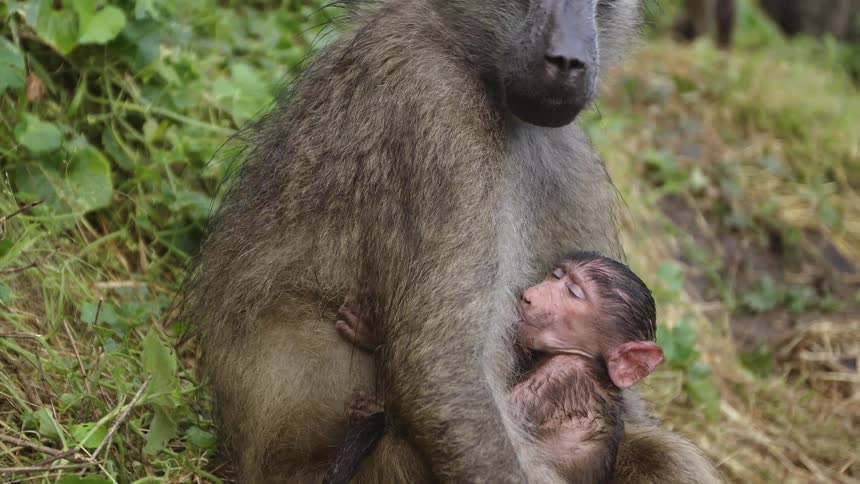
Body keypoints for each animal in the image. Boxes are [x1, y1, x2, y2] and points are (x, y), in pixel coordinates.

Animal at [329, 252, 665, 483]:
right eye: (556, 276)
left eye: (574, 293)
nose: (529, 296)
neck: (590, 361)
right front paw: (373, 334)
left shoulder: (561, 378)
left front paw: (377, 408)